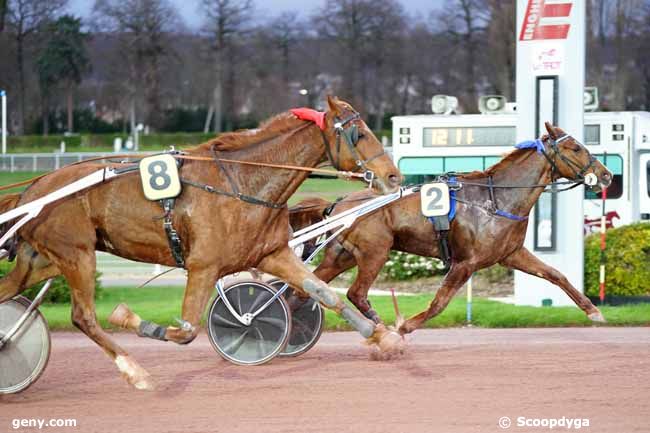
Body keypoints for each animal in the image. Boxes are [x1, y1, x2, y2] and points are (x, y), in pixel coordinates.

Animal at [0, 96, 402, 394]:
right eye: (360, 133)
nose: (394, 176)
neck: (243, 181)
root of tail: (33, 189)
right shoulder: (203, 266)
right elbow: (187, 330)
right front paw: (129, 318)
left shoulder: (272, 253)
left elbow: (324, 292)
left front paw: (383, 337)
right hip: (76, 254)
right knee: (83, 317)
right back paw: (135, 371)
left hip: (41, 261)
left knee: (10, 289)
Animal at [292, 123, 612, 332]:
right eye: (575, 147)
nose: (606, 175)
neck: (495, 199)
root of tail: (339, 204)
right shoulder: (465, 263)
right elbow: (439, 303)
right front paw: (404, 326)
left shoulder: (511, 254)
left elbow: (556, 274)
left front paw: (593, 311)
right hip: (375, 252)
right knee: (355, 293)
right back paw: (379, 326)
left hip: (342, 255)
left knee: (306, 289)